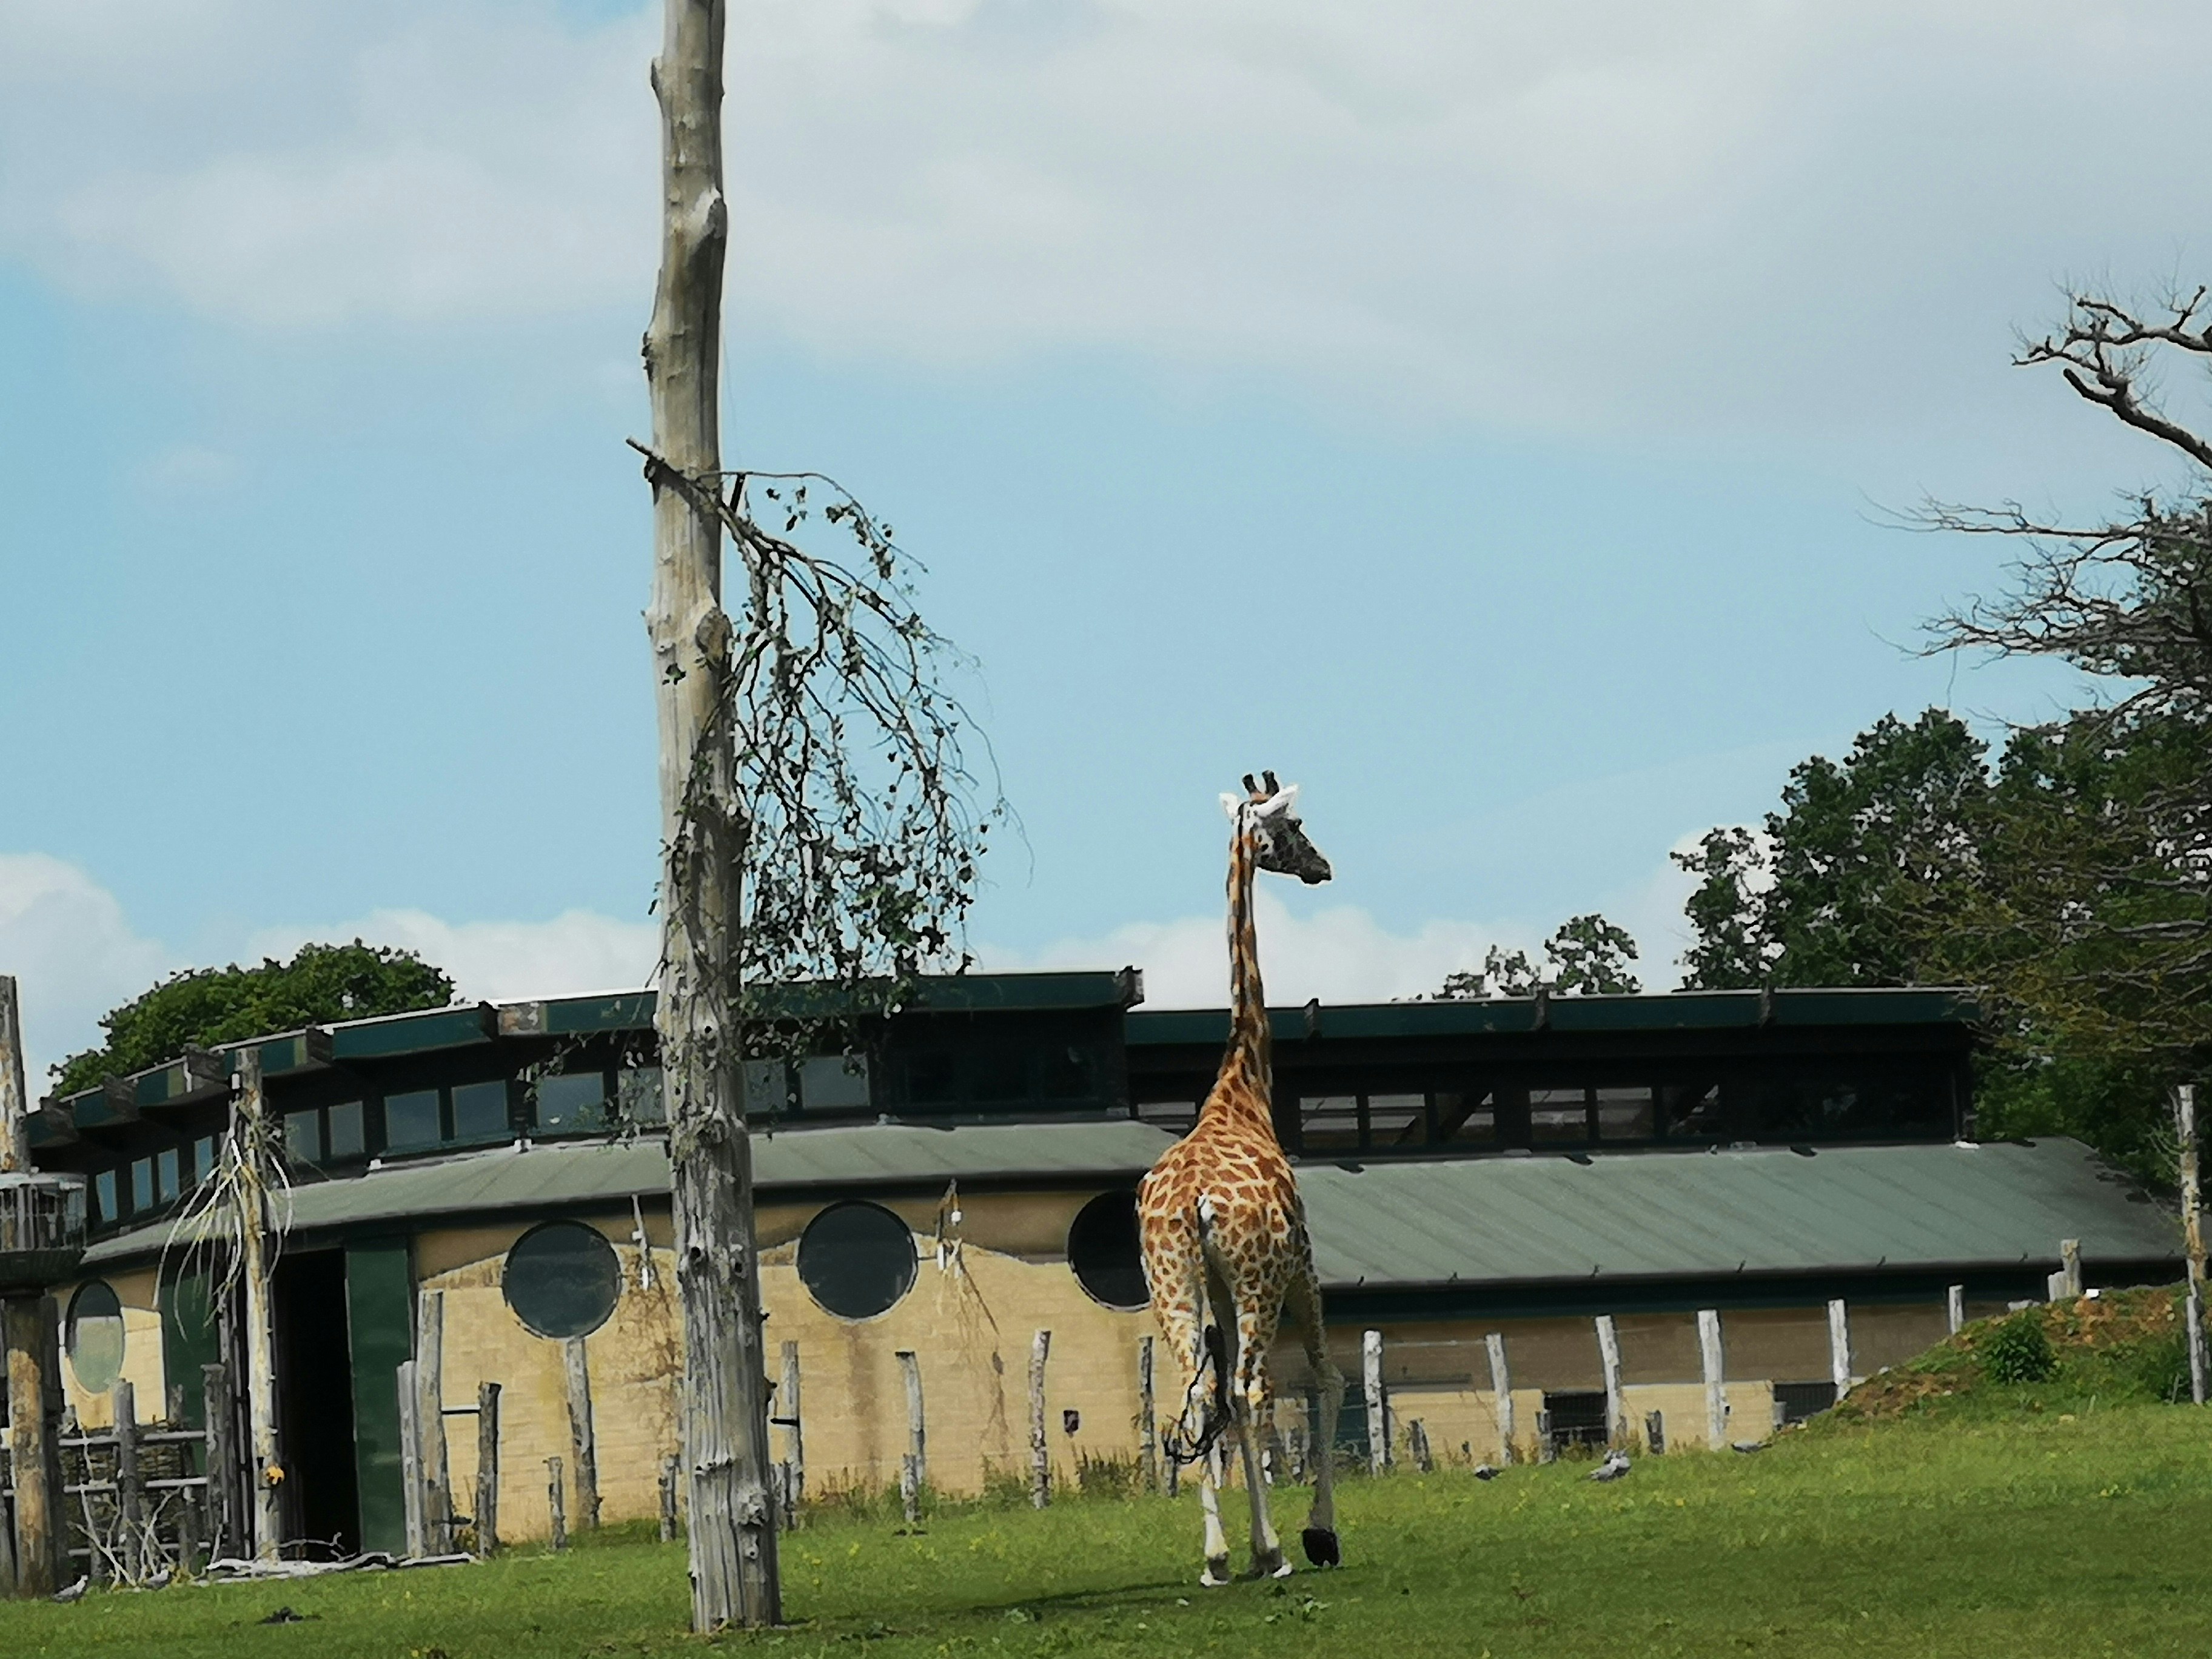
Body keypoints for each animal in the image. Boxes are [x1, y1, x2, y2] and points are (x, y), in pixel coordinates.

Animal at [1136, 771, 1346, 1586]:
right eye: (1295, 828)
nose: (1324, 867)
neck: (1243, 1086)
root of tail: (1193, 1205)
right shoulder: (1304, 1262)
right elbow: (1325, 1378)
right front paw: (1319, 1534)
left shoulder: (1220, 1287)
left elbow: (1215, 1400)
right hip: (1258, 1283)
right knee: (1252, 1388)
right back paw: (1273, 1549)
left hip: (1172, 1283)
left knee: (1198, 1395)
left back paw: (1218, 1557)